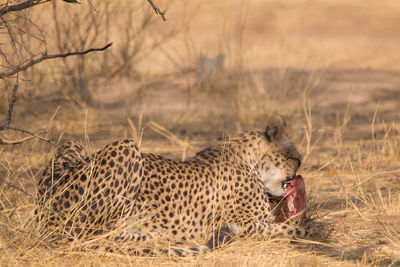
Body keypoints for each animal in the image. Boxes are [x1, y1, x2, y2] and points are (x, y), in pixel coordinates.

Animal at [36, 116, 312, 256]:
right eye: (297, 159)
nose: (298, 175)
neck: (248, 157)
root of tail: (43, 214)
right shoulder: (247, 225)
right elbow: (294, 229)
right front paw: (311, 229)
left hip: (72, 145)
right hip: (127, 146)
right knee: (95, 233)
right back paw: (149, 236)